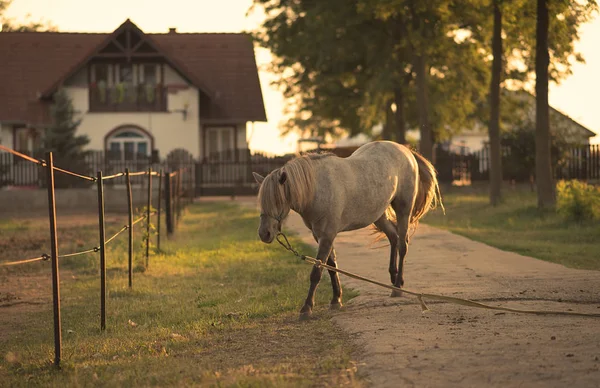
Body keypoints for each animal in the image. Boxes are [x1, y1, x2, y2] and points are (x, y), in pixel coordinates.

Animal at [251, 141, 442, 320]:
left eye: (278, 200)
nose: (264, 233)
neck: (317, 188)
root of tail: (406, 150)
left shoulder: (327, 235)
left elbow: (317, 271)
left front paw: (306, 308)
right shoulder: (320, 235)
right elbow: (331, 266)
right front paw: (336, 300)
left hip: (403, 209)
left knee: (402, 244)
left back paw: (397, 287)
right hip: (378, 215)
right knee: (393, 237)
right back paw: (393, 279)